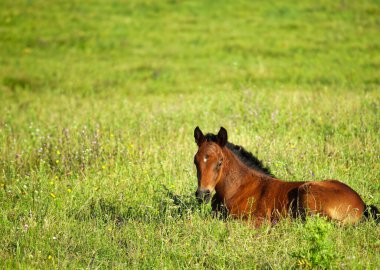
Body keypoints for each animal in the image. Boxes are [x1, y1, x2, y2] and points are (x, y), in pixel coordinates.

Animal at [194, 126, 378, 226]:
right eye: (195, 161)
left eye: (219, 162)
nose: (203, 194)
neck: (238, 188)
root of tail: (362, 205)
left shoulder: (254, 221)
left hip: (307, 190)